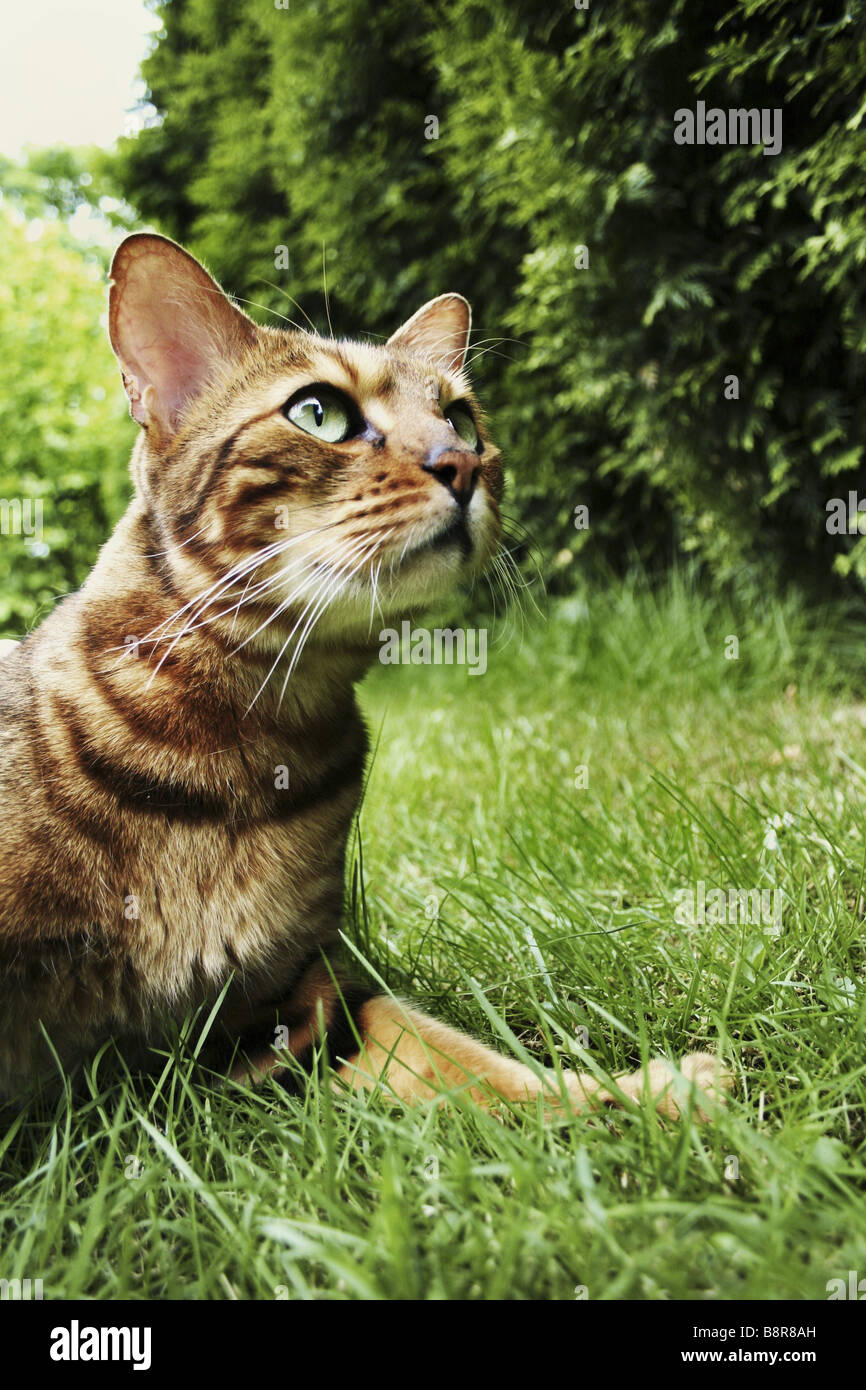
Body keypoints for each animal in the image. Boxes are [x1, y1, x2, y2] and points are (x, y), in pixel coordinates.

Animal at [0, 230, 733, 1117]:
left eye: (461, 417)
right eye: (320, 412)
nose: (462, 463)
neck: (248, 743)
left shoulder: (295, 1008)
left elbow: (482, 1068)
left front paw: (642, 1096)